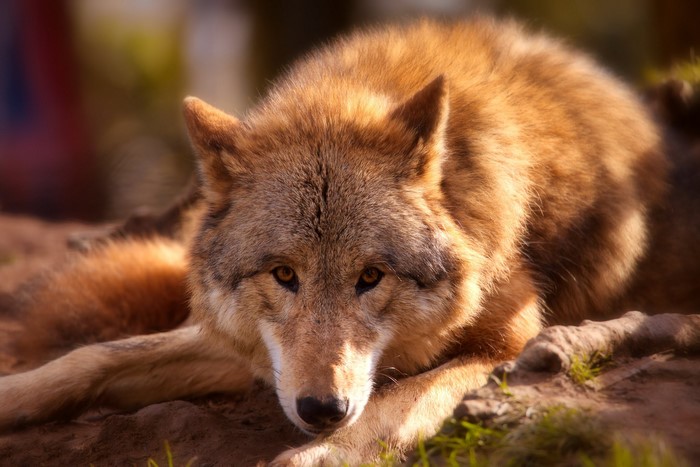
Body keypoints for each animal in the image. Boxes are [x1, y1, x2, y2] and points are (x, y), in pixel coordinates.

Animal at [1, 17, 699, 466]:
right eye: (284, 275)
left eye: (371, 277)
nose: (321, 409)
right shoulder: (255, 353)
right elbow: (93, 357)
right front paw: (13, 396)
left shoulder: (511, 341)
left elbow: (395, 407)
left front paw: (322, 451)